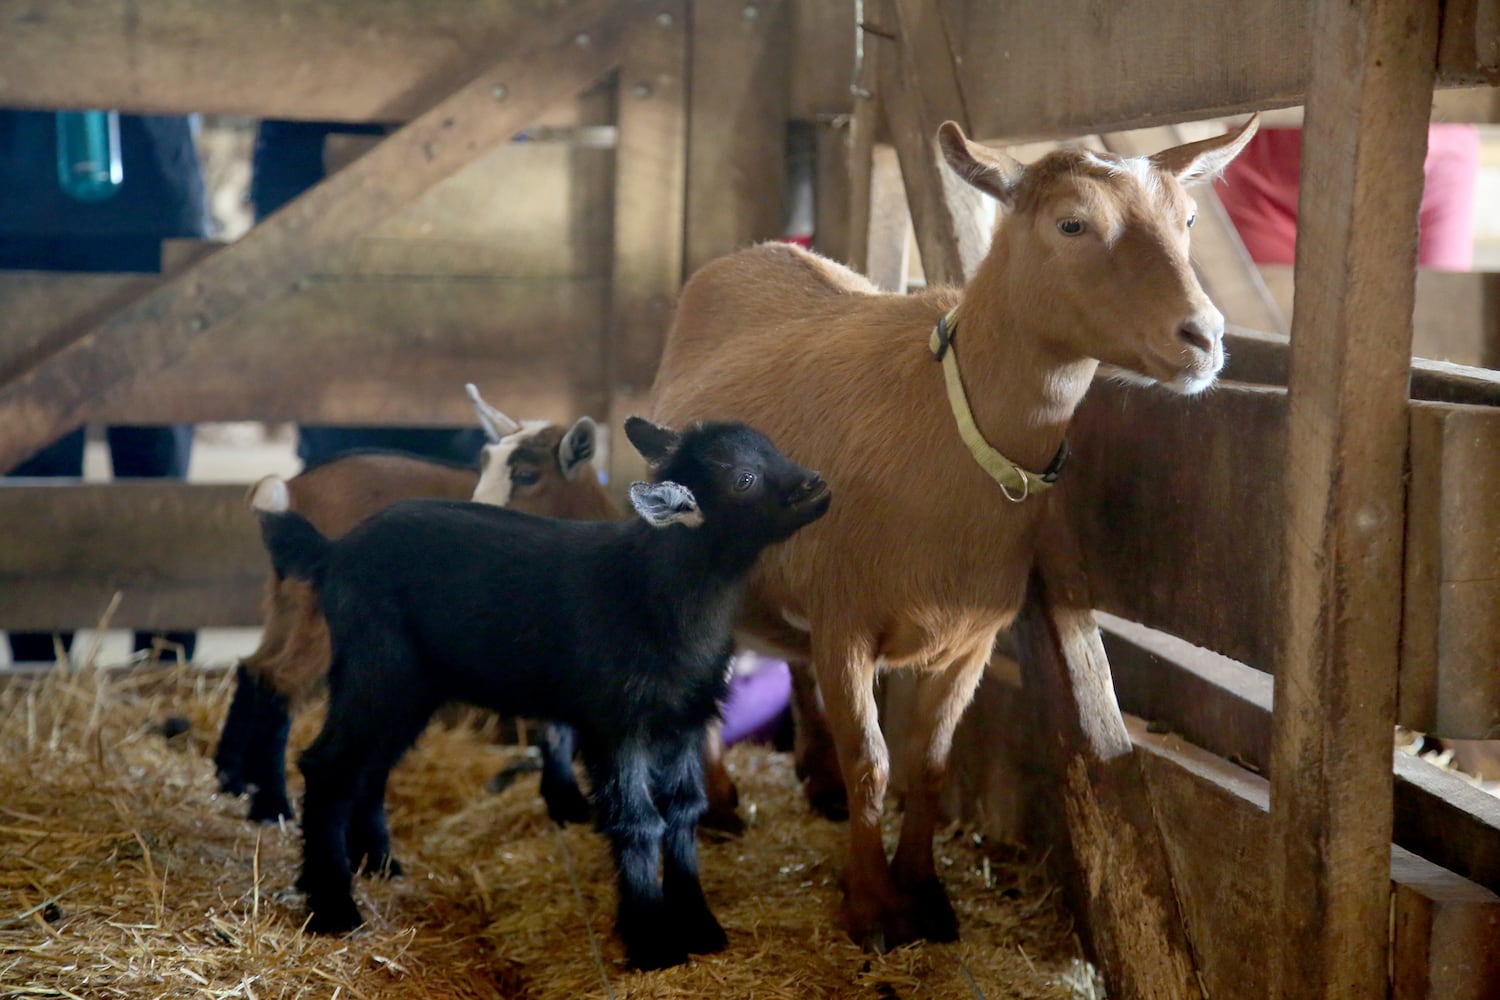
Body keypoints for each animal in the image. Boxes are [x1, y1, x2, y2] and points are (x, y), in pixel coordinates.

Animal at [252, 416, 828, 971]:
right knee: (329, 767)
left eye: (772, 448)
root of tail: (334, 554)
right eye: (744, 478)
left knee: (371, 767)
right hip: (377, 666)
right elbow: (638, 820)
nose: (817, 486)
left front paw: (701, 928)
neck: (657, 591)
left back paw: (378, 865)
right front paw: (652, 944)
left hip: (409, 685)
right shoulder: (617, 722)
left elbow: (685, 812)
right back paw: (334, 909)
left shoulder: (685, 719)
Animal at [651, 115, 1260, 947]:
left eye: (1190, 220)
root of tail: (755, 251)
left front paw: (926, 893)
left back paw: (814, 781)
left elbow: (930, 764)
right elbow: (873, 762)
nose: (1204, 337)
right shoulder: (846, 622)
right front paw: (871, 908)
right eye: (1072, 224)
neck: (951, 432)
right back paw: (716, 803)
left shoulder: (972, 634)